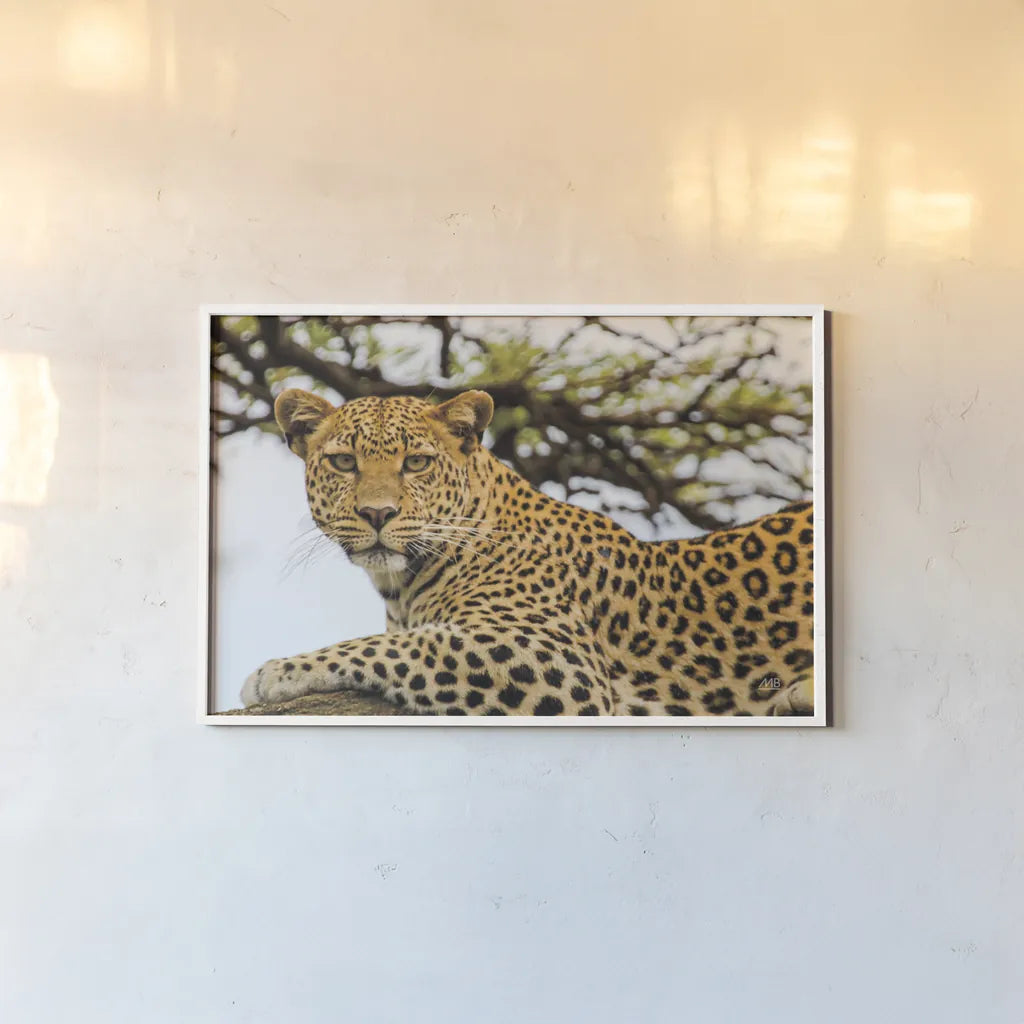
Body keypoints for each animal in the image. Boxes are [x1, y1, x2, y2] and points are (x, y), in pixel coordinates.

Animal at [240, 388, 816, 717]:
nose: (377, 514)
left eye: (417, 463)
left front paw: (278, 672)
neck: (401, 588)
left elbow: (396, 646)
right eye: (343, 462)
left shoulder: (558, 662)